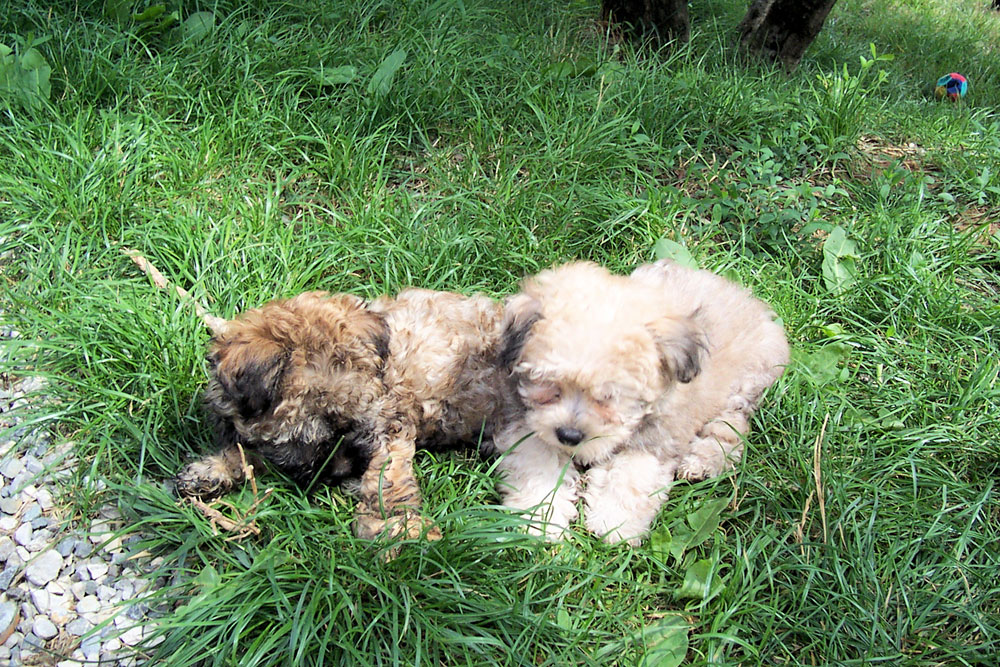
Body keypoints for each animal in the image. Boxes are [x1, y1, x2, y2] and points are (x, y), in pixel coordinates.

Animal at [173, 290, 512, 540]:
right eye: (306, 438)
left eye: (350, 422)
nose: (344, 472)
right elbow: (253, 452)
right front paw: (210, 470)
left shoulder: (388, 423)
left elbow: (387, 477)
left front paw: (397, 529)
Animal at [492, 258, 788, 544]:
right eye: (549, 384)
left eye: (609, 396)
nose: (569, 435)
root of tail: (749, 299)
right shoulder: (524, 423)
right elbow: (537, 466)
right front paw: (539, 520)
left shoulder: (655, 438)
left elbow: (631, 476)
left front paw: (613, 522)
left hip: (746, 382)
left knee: (731, 427)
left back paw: (701, 463)